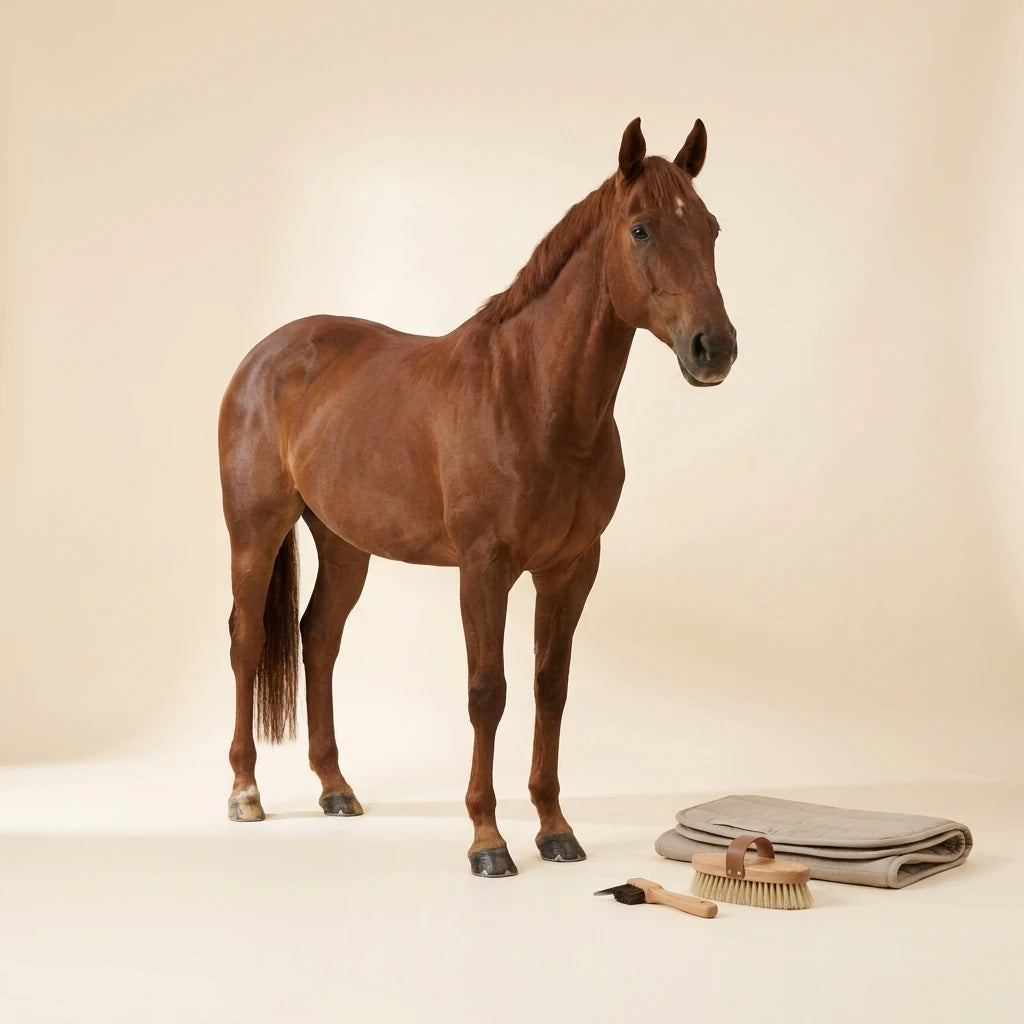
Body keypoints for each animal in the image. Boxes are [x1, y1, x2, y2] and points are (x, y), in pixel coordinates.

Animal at [218, 116, 736, 877]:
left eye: (710, 227)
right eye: (641, 230)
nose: (714, 348)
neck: (534, 396)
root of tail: (264, 356)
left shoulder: (572, 569)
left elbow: (551, 689)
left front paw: (555, 829)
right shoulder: (484, 568)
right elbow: (487, 692)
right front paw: (487, 841)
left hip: (345, 545)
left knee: (319, 639)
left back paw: (336, 789)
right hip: (255, 531)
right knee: (248, 641)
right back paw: (245, 791)